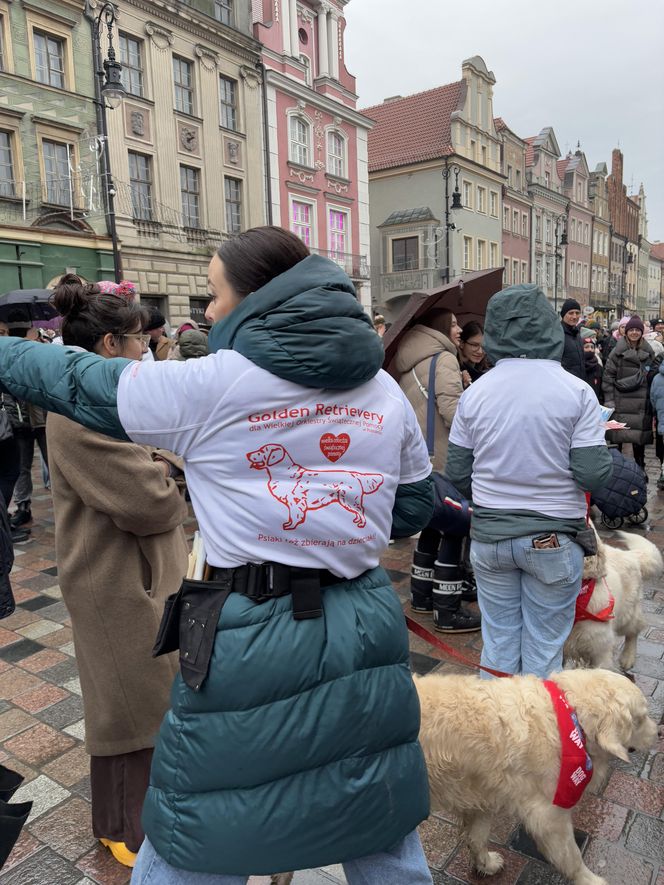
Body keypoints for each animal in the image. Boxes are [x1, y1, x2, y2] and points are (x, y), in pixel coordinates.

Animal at [418, 668, 656, 884]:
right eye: (642, 718)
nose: (659, 732)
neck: (570, 715)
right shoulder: (548, 816)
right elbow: (572, 858)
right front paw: (590, 880)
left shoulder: (481, 798)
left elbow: (476, 837)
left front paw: (485, 864)